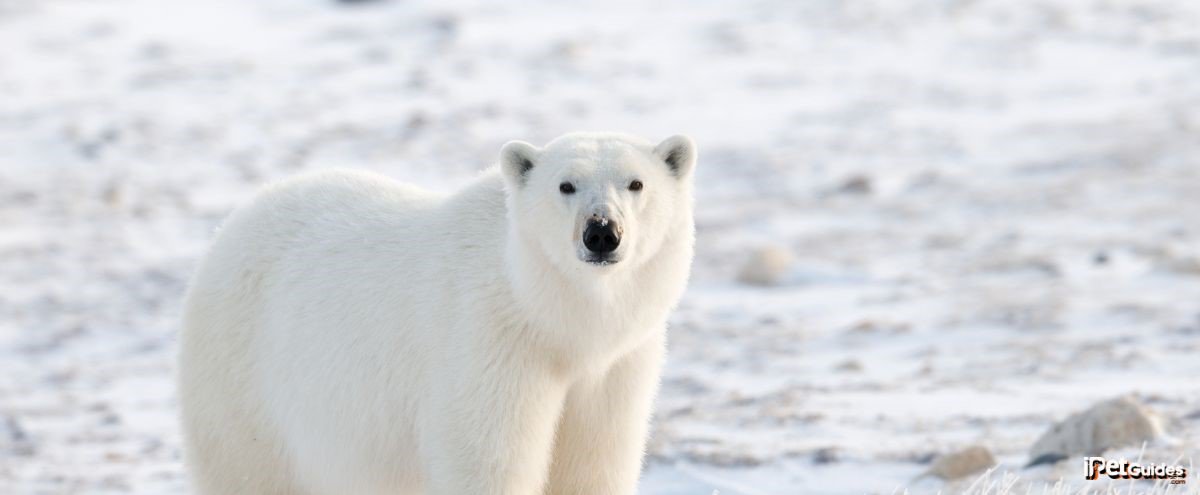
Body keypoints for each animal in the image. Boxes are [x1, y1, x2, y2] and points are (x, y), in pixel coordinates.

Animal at [177, 132, 697, 495]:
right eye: (565, 185)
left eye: (636, 183)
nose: (602, 232)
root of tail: (232, 225)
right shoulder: (488, 343)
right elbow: (489, 459)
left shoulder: (614, 366)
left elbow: (593, 460)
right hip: (245, 381)